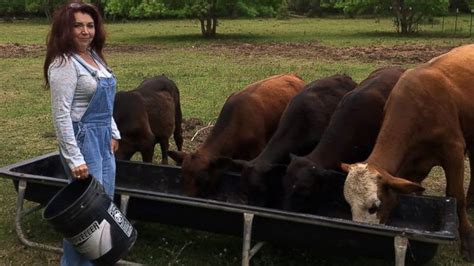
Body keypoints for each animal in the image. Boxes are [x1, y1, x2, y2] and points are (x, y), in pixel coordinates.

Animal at [340, 44, 474, 260]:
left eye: (373, 207)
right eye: (349, 205)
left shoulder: (453, 150)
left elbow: (456, 196)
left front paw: (468, 240)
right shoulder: (411, 165)